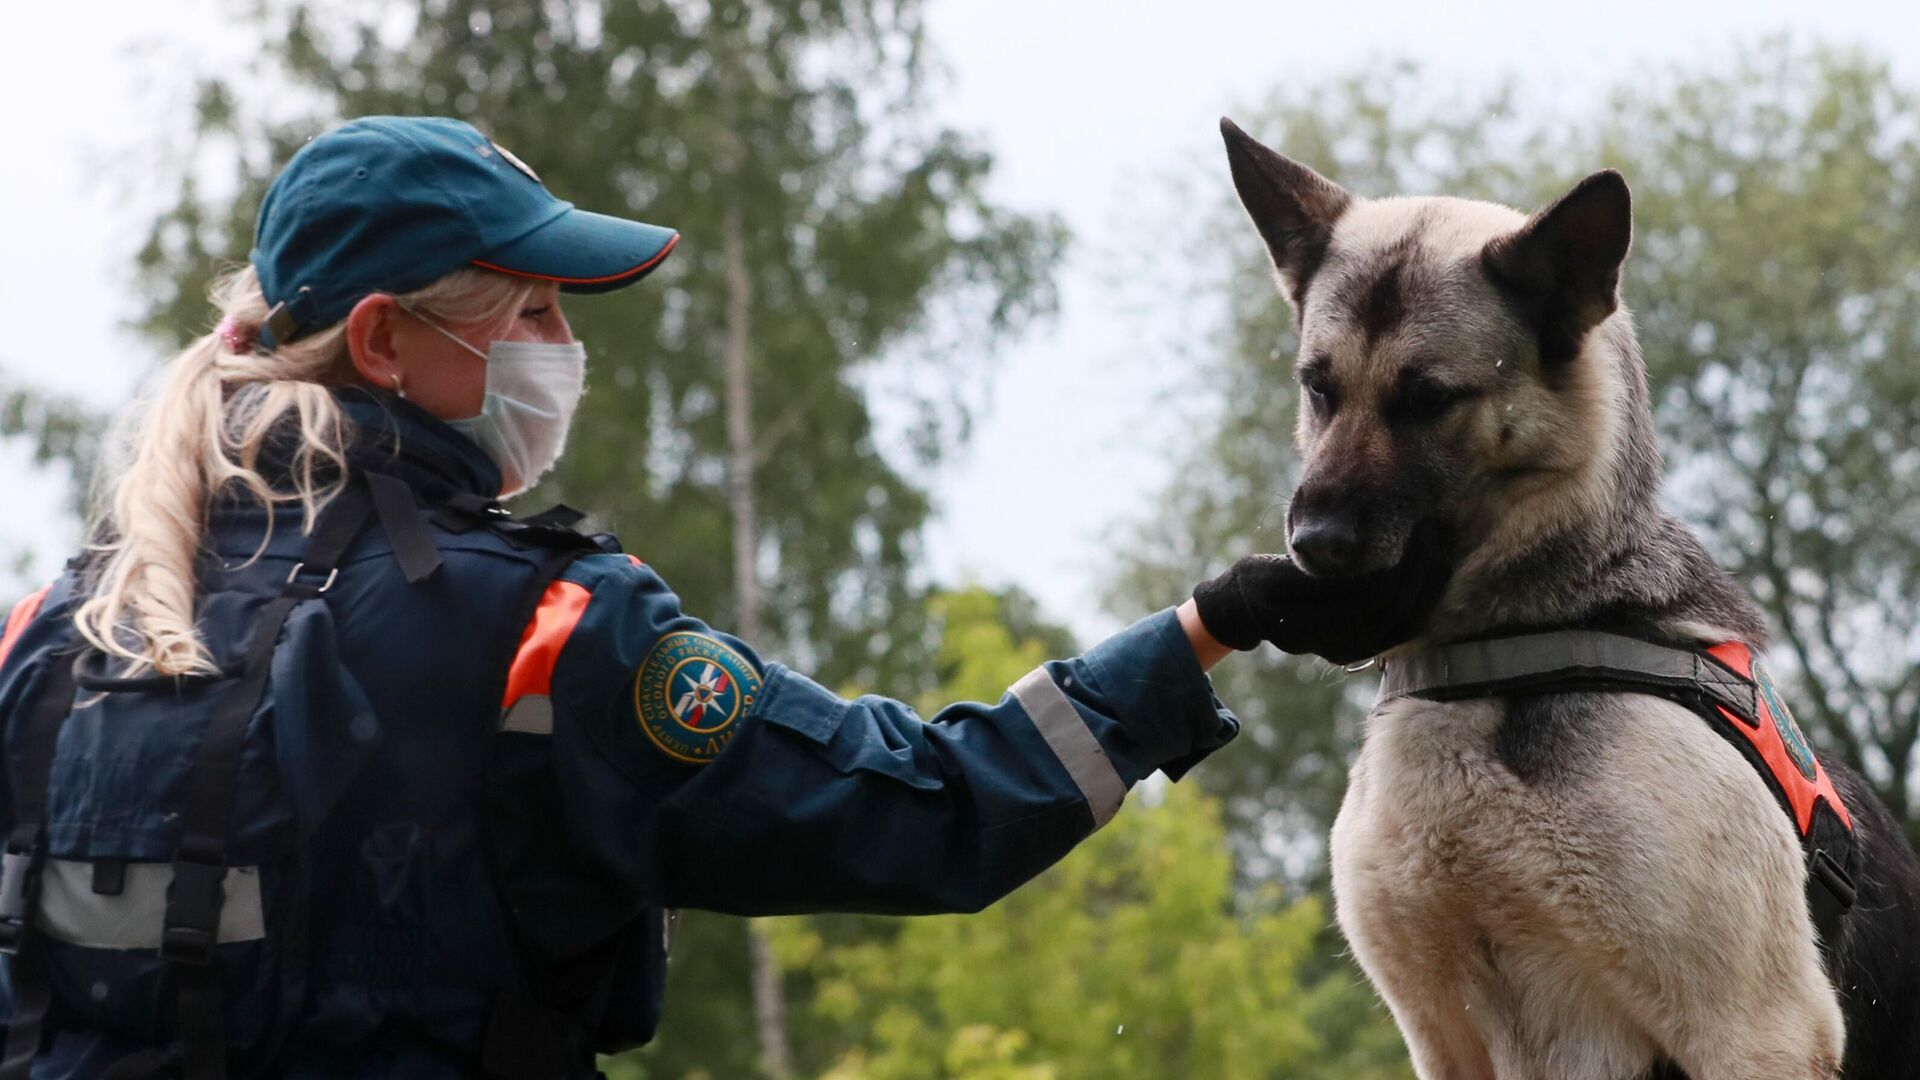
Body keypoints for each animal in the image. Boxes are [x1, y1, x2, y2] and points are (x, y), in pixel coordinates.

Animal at [1221, 117, 1920, 1076]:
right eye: (1318, 388)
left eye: (1428, 399)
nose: (1313, 547)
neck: (1514, 650)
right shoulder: (1443, 1041)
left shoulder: (1759, 1031)